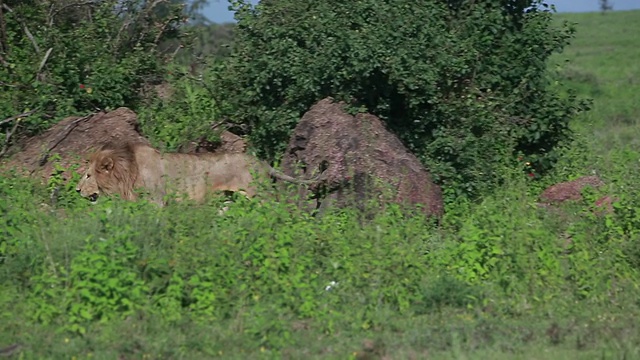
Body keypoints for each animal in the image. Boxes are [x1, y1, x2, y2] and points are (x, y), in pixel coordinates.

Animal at [77, 141, 318, 205]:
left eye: (88, 175)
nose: (77, 190)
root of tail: (262, 163)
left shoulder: (156, 201)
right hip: (227, 199)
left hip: (260, 196)